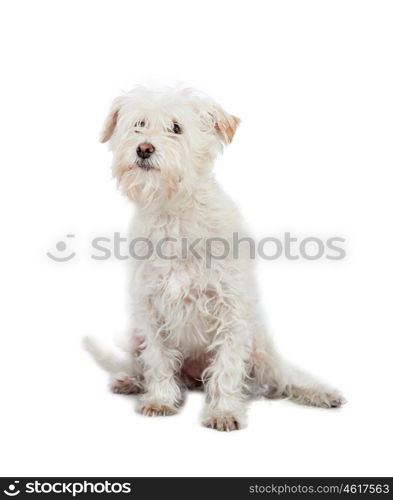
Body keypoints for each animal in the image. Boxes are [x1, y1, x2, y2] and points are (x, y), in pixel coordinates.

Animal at [85, 86, 344, 430]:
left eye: (176, 127)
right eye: (139, 124)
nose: (143, 149)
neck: (174, 212)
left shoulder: (230, 311)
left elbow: (227, 366)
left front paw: (223, 412)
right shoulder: (151, 311)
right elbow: (158, 360)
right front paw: (160, 400)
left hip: (260, 347)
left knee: (283, 379)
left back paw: (320, 393)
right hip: (136, 337)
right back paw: (130, 380)